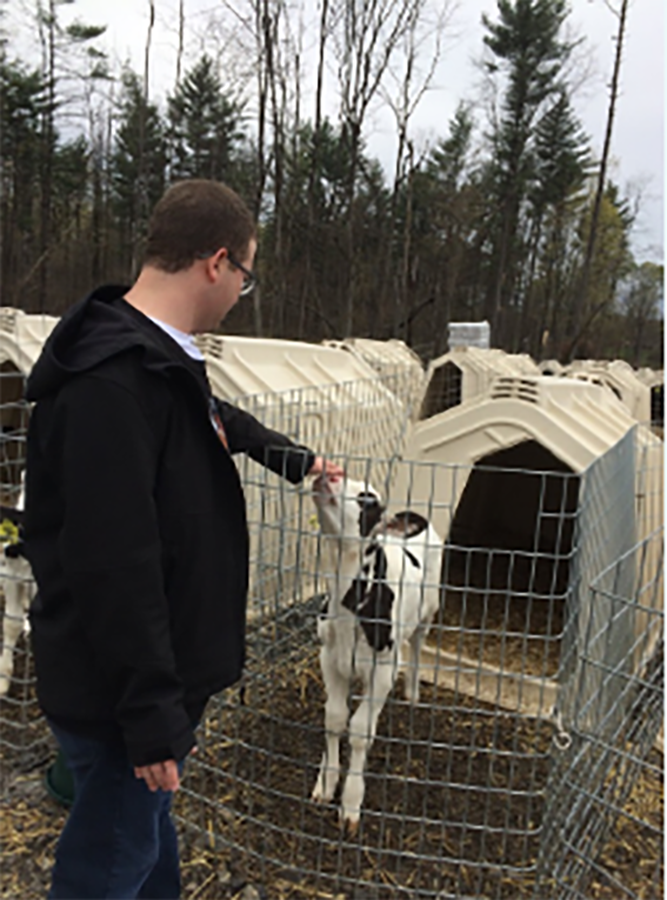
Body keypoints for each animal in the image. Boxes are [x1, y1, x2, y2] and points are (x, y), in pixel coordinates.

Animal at [312, 474, 444, 832]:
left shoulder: (383, 670)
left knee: (417, 648)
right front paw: (326, 782)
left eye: (367, 499)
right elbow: (335, 718)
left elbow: (359, 732)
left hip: (428, 613)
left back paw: (412, 692)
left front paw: (351, 803)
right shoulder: (329, 657)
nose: (328, 474)